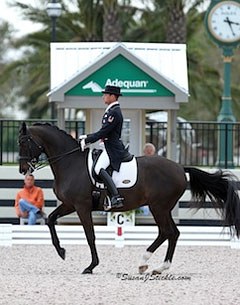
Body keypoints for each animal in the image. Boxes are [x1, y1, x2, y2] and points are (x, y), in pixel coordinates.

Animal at [17, 121, 240, 274]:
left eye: (23, 142)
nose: (22, 169)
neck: (70, 163)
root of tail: (179, 167)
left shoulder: (81, 206)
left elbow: (90, 235)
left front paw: (91, 266)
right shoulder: (70, 204)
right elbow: (50, 219)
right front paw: (61, 251)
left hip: (159, 207)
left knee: (168, 232)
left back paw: (149, 264)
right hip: (163, 208)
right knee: (171, 233)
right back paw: (154, 266)